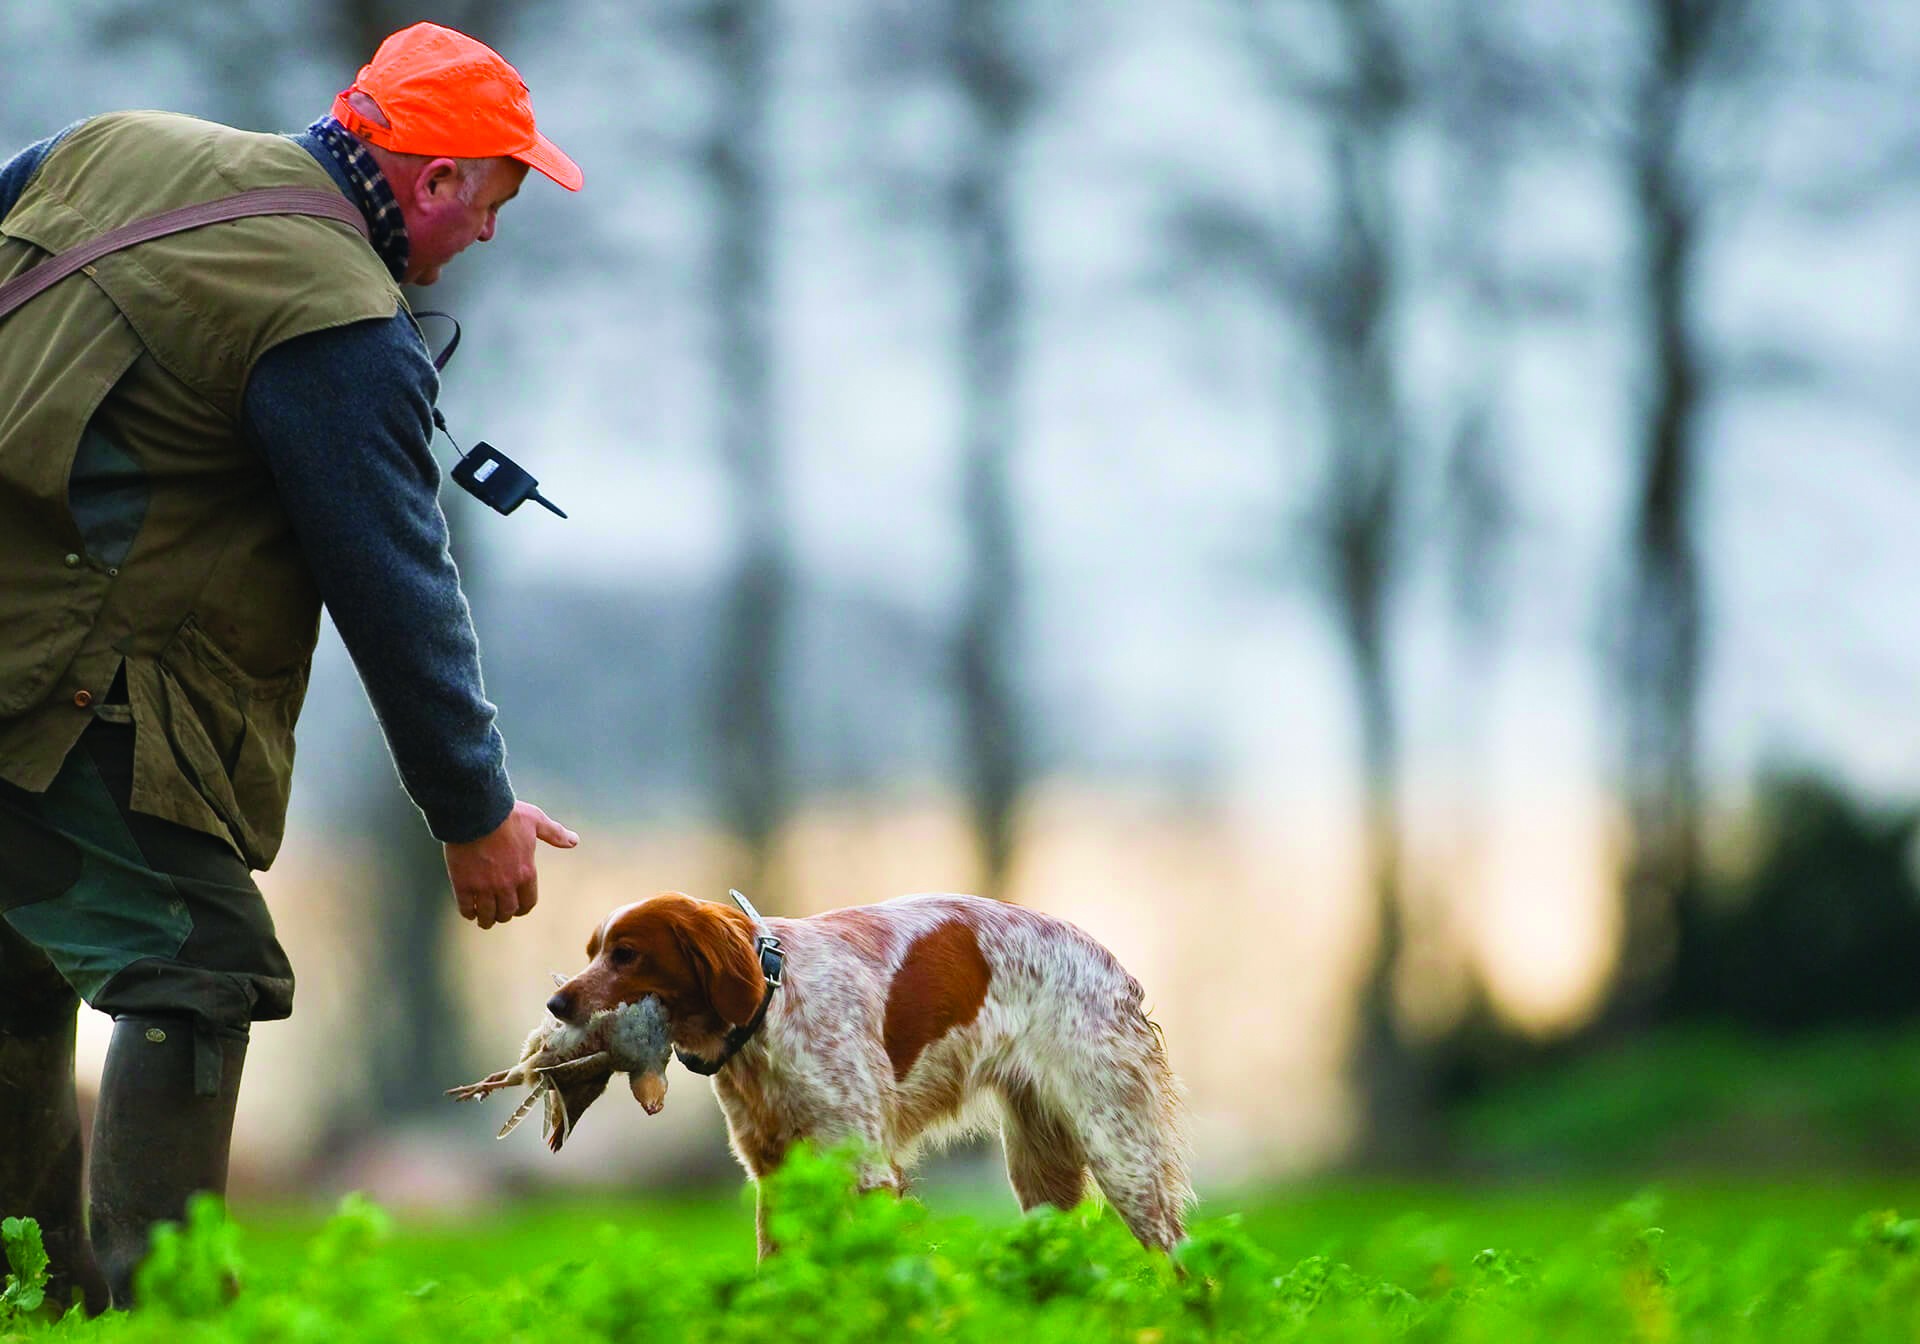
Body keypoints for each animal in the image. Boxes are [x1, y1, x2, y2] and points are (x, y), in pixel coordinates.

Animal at [549, 887, 1190, 1251]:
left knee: (1178, 1258)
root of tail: (1116, 971)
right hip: (1040, 1171)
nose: (556, 1004)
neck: (771, 1008)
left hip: (1119, 1153)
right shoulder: (775, 1174)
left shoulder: (864, 1169)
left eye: (627, 954)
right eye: (592, 953)